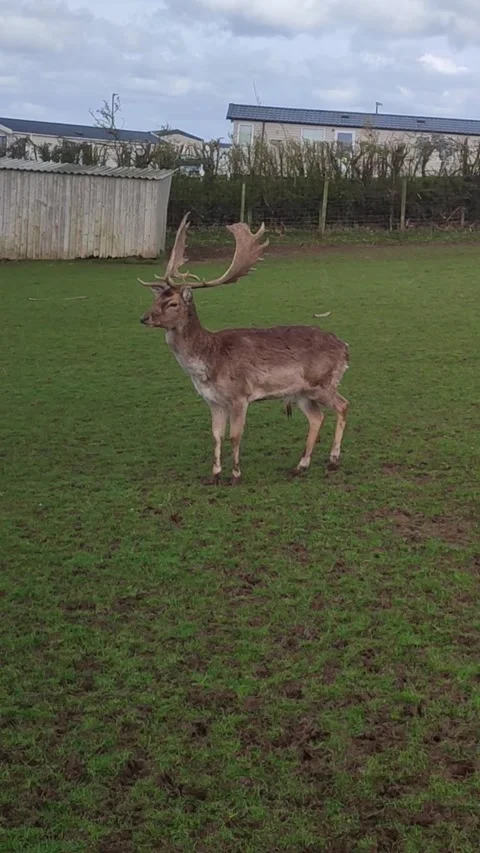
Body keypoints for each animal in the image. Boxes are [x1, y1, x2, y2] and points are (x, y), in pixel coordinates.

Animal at [138, 213, 349, 485]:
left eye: (173, 303)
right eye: (156, 298)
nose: (144, 318)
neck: (208, 362)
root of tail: (345, 348)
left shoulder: (240, 395)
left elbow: (234, 436)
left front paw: (236, 475)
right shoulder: (213, 400)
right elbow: (216, 436)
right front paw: (215, 474)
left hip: (323, 383)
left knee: (343, 405)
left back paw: (333, 461)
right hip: (302, 392)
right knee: (317, 417)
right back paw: (300, 466)